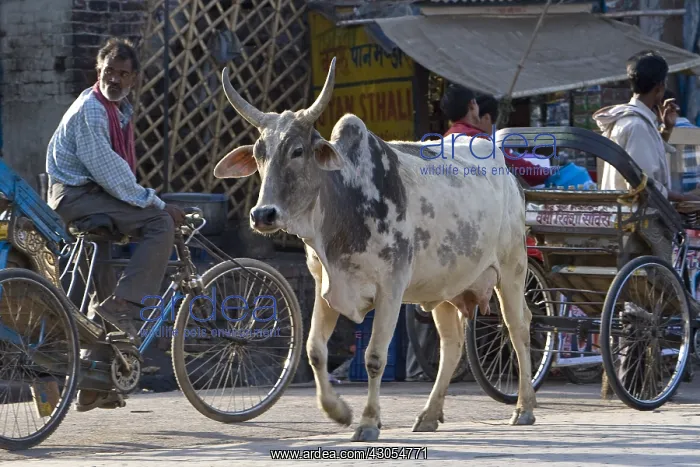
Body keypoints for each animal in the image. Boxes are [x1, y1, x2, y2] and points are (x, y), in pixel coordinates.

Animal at [212, 57, 536, 442]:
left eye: (297, 151)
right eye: (259, 153)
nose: (263, 214)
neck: (345, 205)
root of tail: (508, 172)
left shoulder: (390, 289)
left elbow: (374, 357)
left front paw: (368, 422)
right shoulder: (326, 286)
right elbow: (314, 350)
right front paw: (338, 411)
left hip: (512, 270)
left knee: (518, 329)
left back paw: (524, 408)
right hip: (444, 286)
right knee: (452, 344)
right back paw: (429, 414)